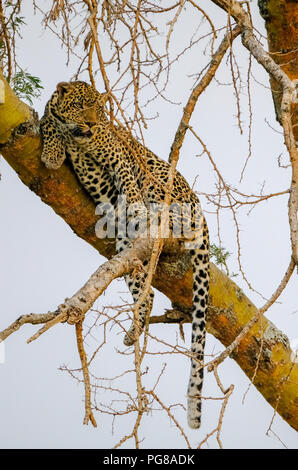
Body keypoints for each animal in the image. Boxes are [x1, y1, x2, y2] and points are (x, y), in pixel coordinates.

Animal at [40, 81, 210, 430]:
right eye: (80, 106)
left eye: (98, 109)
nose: (92, 124)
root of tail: (202, 214)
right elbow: (49, 122)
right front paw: (51, 149)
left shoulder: (120, 154)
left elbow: (128, 179)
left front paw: (134, 204)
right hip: (125, 249)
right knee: (145, 293)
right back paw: (134, 331)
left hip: (162, 178)